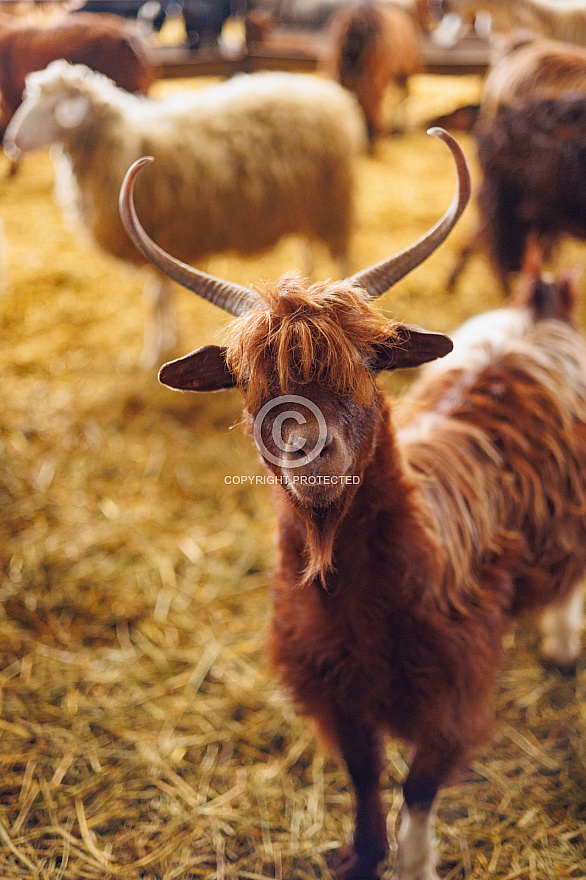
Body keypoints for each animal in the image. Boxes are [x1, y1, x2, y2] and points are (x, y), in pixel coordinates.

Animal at [5, 59, 364, 364]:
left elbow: (157, 299)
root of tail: (329, 94)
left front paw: (155, 351)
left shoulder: (163, 233)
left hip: (333, 202)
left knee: (342, 255)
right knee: (308, 247)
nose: (10, 143)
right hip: (306, 205)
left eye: (53, 108)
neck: (124, 144)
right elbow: (160, 297)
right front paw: (167, 340)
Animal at [117, 132, 584, 880]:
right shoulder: (337, 692)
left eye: (369, 361)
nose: (309, 452)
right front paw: (363, 857)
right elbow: (365, 776)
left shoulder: (454, 686)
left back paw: (564, 645)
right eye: (247, 378)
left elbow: (420, 785)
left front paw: (415, 864)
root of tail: (541, 308)